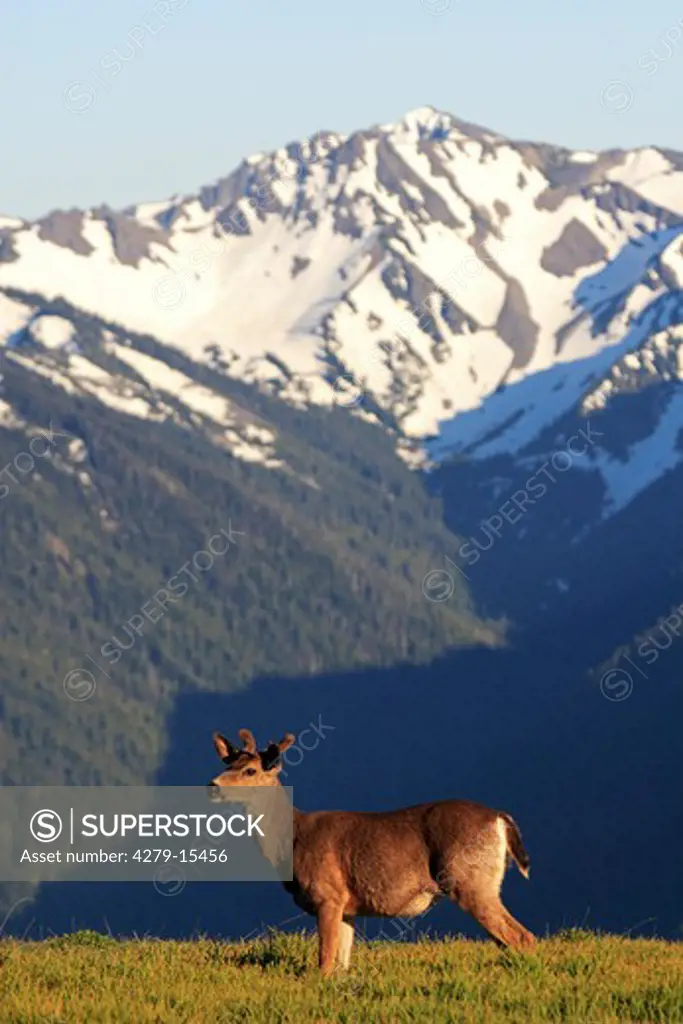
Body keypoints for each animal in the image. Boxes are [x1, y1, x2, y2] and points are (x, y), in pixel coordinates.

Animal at [208, 729, 532, 974]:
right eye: (226, 765)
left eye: (250, 770)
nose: (213, 785)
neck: (292, 840)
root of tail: (499, 818)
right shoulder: (347, 907)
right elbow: (341, 964)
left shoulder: (328, 894)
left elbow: (324, 962)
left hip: (470, 879)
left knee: (520, 937)